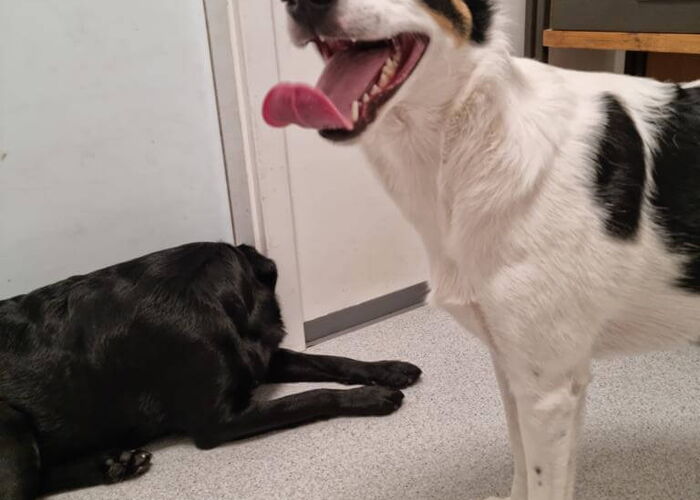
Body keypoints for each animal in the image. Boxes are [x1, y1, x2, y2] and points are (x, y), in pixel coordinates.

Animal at [0, 242, 422, 499]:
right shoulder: (219, 420)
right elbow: (310, 398)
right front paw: (371, 396)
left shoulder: (262, 361)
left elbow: (334, 361)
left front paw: (388, 369)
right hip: (13, 427)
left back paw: (113, 464)